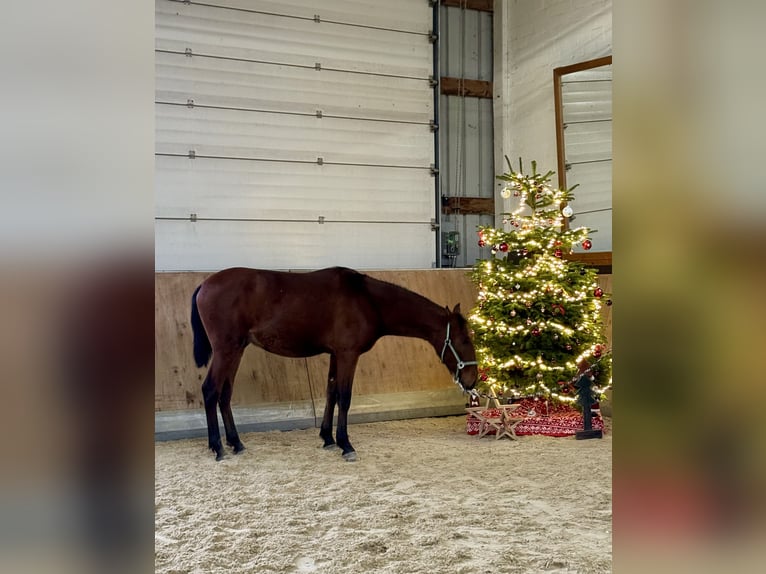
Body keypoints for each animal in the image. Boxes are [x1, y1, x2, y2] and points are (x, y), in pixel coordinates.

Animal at [190, 266, 480, 464]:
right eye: (464, 339)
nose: (472, 380)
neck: (367, 300)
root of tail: (204, 284)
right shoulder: (348, 355)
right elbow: (344, 397)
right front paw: (345, 444)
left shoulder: (334, 354)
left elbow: (330, 392)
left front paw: (328, 438)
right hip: (225, 350)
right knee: (210, 391)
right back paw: (218, 447)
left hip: (236, 350)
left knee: (225, 394)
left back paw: (236, 443)